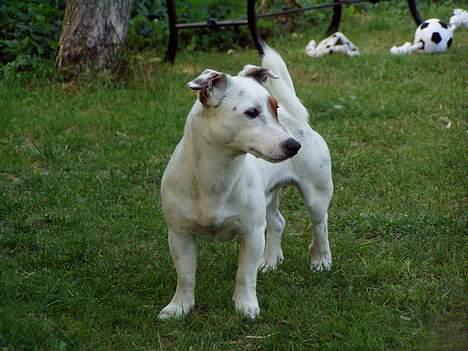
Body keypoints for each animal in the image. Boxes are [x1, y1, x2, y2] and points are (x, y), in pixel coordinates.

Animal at [160, 45, 332, 320]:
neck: (216, 175)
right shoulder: (179, 235)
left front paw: (245, 306)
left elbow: (244, 274)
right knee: (277, 221)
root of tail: (296, 120)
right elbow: (185, 276)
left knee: (320, 227)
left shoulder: (251, 234)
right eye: (252, 112)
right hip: (268, 196)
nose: (294, 145)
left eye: (274, 109)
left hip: (316, 196)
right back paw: (270, 261)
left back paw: (321, 260)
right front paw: (179, 307)